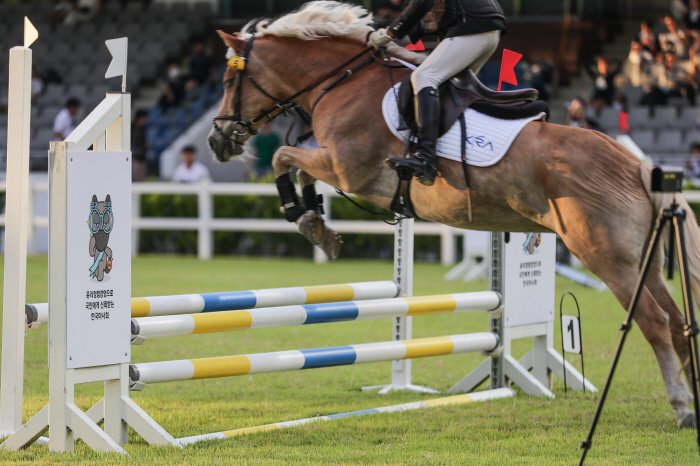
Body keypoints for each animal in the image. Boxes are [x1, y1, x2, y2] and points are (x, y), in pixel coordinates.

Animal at [208, 0, 700, 430]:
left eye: (230, 81)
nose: (217, 141)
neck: (341, 82)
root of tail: (638, 166)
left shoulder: (345, 167)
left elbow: (284, 158)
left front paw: (304, 217)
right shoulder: (335, 165)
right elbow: (295, 166)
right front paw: (318, 226)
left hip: (608, 258)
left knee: (655, 323)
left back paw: (681, 408)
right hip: (643, 262)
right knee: (678, 323)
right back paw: (692, 402)